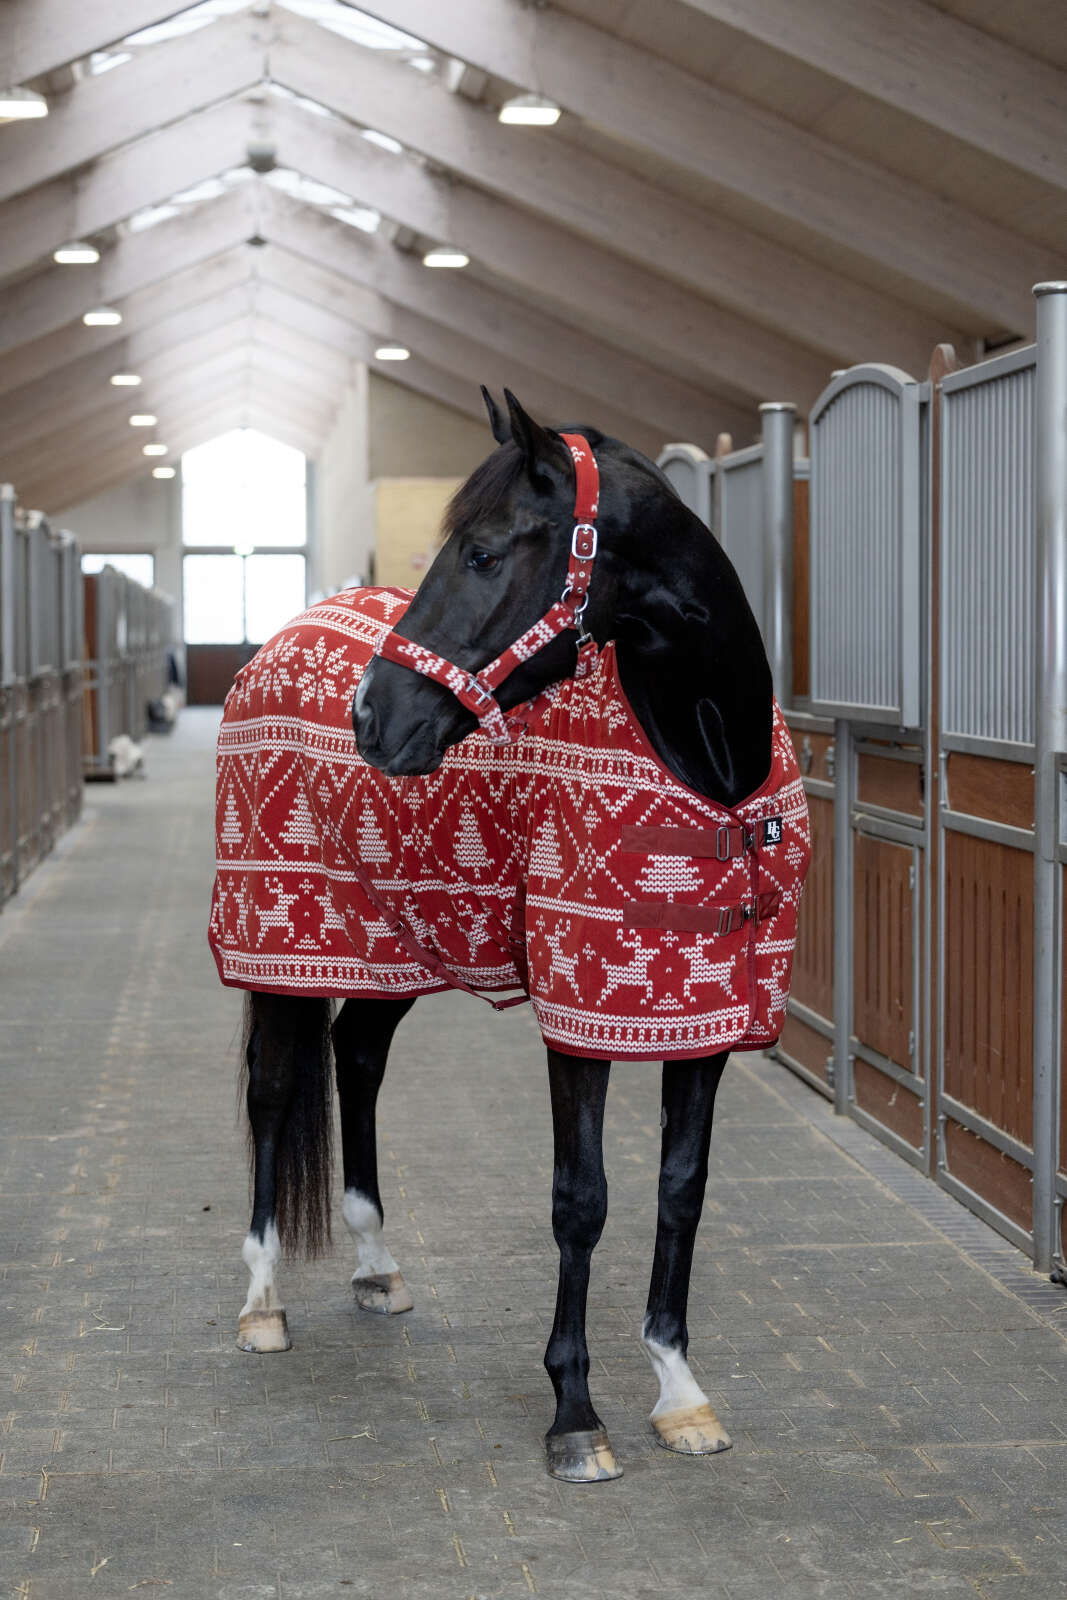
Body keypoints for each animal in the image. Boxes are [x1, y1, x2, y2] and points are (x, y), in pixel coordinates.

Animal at [211, 388, 810, 1483]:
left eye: (485, 552)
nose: (371, 715)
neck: (708, 761)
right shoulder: (580, 1017)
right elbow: (582, 1200)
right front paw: (574, 1412)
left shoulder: (704, 1017)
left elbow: (681, 1190)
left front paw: (680, 1391)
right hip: (280, 941)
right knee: (273, 1093)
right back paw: (262, 1303)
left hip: (392, 946)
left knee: (356, 1059)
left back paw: (376, 1265)